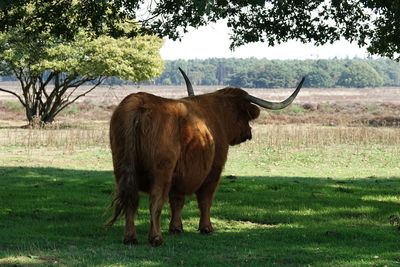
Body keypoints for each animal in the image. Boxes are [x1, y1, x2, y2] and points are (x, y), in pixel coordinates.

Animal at [108, 69, 304, 247]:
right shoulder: (214, 169)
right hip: (161, 170)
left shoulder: (181, 174)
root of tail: (138, 101)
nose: (249, 133)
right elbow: (205, 199)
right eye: (245, 116)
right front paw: (206, 228)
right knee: (155, 201)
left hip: (121, 168)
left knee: (130, 200)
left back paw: (130, 237)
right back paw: (156, 238)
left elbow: (177, 200)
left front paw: (176, 228)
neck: (218, 116)